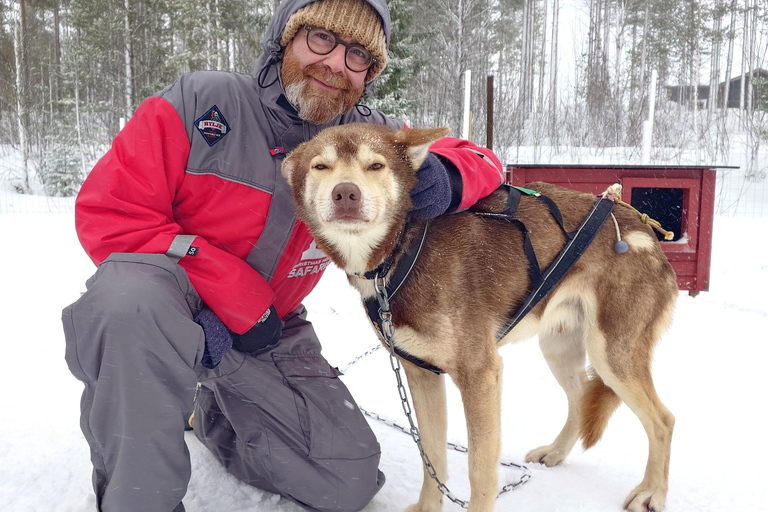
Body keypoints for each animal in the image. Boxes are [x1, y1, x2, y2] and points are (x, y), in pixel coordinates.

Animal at [282, 124, 680, 512]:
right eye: (321, 166)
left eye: (375, 165)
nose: (345, 193)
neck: (400, 252)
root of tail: (644, 230)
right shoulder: (421, 374)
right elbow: (432, 459)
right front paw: (427, 507)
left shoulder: (480, 374)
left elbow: (480, 472)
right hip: (559, 347)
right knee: (581, 397)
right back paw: (556, 452)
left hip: (611, 355)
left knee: (663, 420)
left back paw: (651, 493)